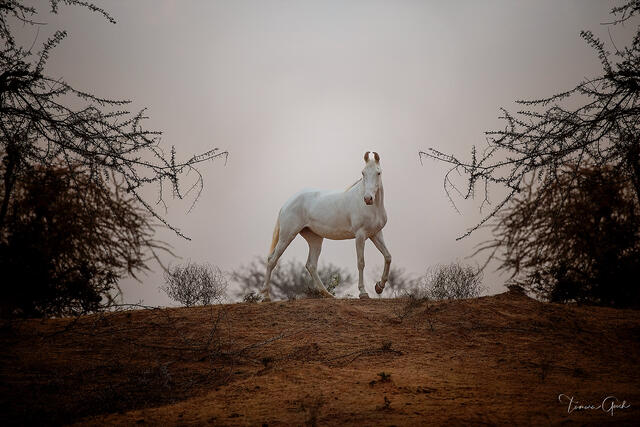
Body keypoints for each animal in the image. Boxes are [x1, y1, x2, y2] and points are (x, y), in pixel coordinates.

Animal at [262, 151, 392, 301]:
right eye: (363, 173)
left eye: (378, 172)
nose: (368, 199)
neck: (373, 208)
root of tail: (287, 203)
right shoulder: (360, 235)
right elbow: (361, 262)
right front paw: (363, 293)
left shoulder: (376, 234)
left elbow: (388, 257)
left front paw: (379, 286)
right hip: (287, 236)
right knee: (272, 260)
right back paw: (265, 296)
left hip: (315, 239)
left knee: (311, 265)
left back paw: (327, 294)